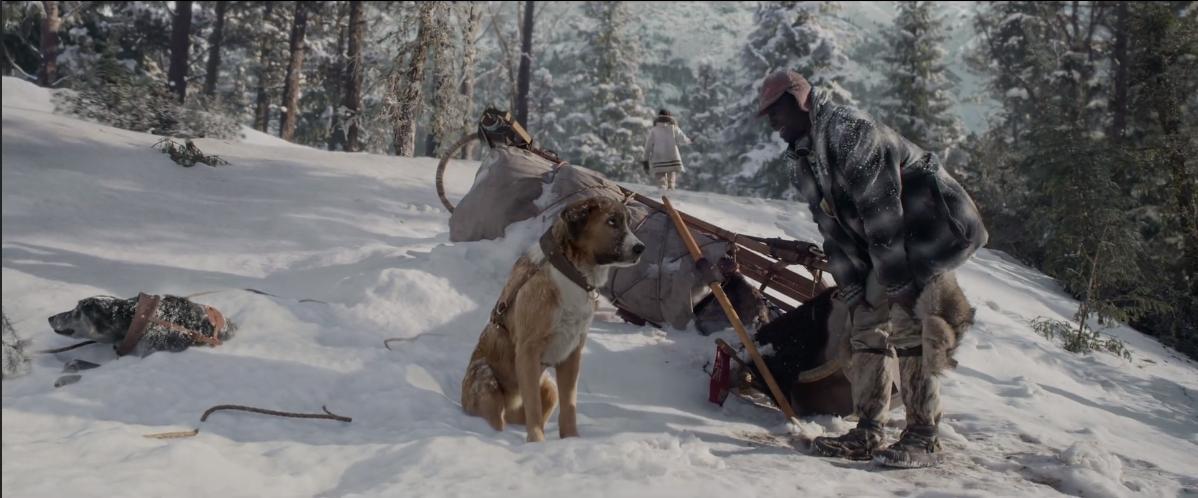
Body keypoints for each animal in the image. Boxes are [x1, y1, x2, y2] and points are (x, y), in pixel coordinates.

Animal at [460, 196, 646, 440]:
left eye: (627, 223)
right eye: (611, 221)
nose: (640, 248)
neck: (571, 271)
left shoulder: (572, 353)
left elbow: (569, 407)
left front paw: (571, 440)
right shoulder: (528, 351)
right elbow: (534, 408)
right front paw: (537, 443)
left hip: (549, 388)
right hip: (486, 378)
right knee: (496, 419)